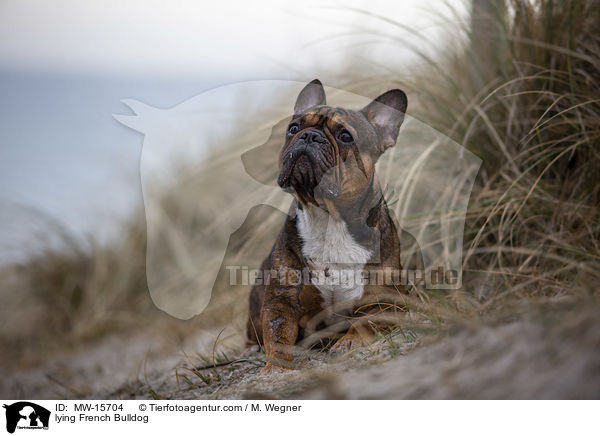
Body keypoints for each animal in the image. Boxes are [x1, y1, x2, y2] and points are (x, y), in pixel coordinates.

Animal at [247, 80, 408, 370]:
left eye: (345, 136)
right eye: (294, 128)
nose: (309, 136)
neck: (328, 219)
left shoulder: (388, 304)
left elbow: (365, 323)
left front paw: (349, 342)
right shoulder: (280, 302)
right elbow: (277, 334)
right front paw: (275, 367)